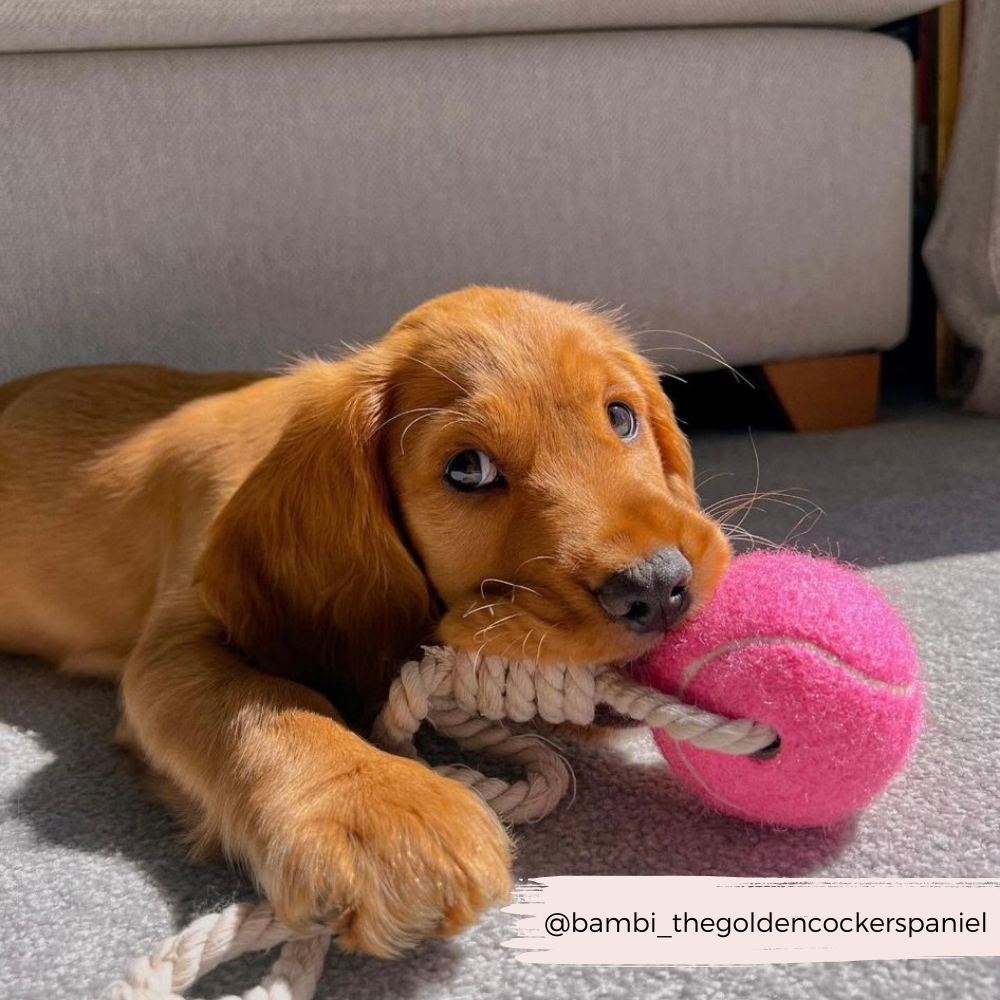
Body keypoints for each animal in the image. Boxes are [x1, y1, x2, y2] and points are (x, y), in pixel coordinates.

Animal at [0, 288, 728, 952]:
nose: (659, 588)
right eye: (468, 469)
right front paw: (379, 811)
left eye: (621, 416)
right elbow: (263, 699)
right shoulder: (172, 646)